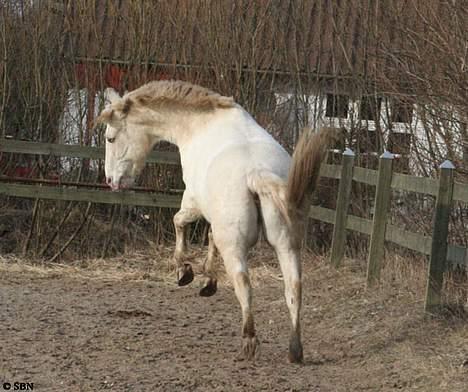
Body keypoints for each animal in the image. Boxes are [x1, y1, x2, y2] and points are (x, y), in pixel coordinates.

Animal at [98, 80, 330, 364]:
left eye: (110, 138)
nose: (111, 180)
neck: (199, 123)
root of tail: (257, 173)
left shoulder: (193, 201)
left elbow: (179, 222)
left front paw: (184, 271)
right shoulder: (215, 218)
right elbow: (209, 238)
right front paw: (208, 280)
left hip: (237, 248)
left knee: (244, 285)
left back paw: (249, 341)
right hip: (287, 245)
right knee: (294, 289)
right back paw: (295, 350)